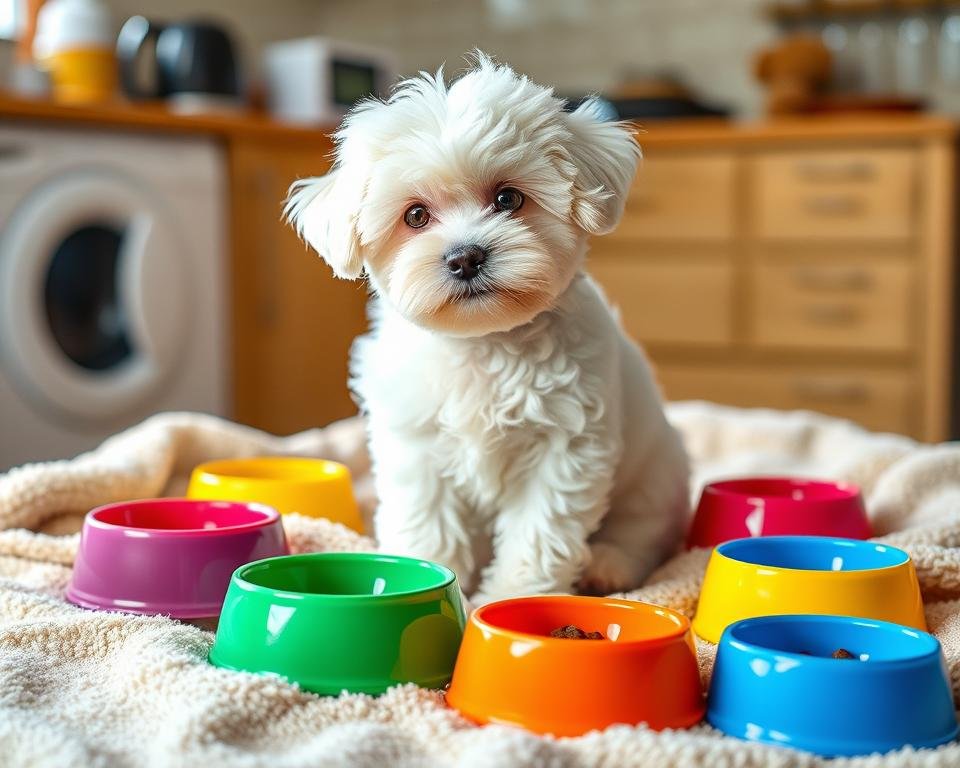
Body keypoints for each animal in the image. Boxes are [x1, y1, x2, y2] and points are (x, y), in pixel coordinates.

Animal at [284, 57, 688, 604]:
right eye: (415, 215)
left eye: (508, 198)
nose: (466, 257)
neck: (485, 344)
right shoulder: (417, 444)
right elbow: (428, 523)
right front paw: (433, 575)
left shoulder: (567, 445)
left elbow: (539, 531)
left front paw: (508, 598)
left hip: (655, 475)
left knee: (641, 533)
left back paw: (608, 565)